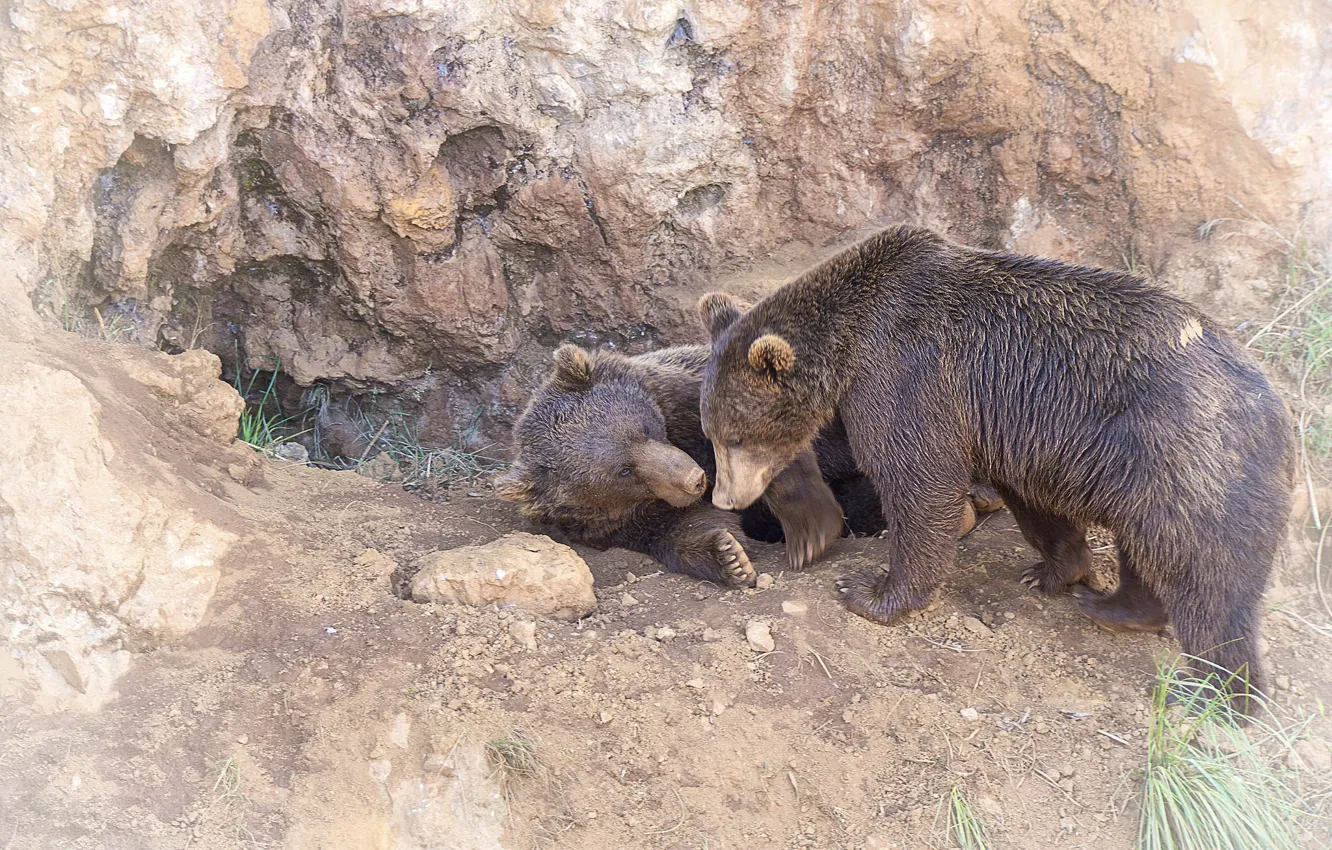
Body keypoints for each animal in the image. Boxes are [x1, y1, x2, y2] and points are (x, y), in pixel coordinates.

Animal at [495, 343, 1001, 588]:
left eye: (643, 428)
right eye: (623, 471)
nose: (692, 479)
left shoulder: (700, 397)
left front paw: (808, 526)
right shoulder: (632, 523)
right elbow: (687, 532)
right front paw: (730, 558)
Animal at [697, 223, 1289, 708]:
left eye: (736, 436)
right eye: (712, 433)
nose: (724, 497)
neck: (850, 340)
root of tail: (1277, 410)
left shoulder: (907, 376)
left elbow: (919, 481)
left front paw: (870, 592)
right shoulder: (1011, 430)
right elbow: (1034, 505)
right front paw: (1052, 570)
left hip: (1184, 461)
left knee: (1207, 578)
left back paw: (1222, 692)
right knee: (1149, 554)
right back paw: (1109, 604)